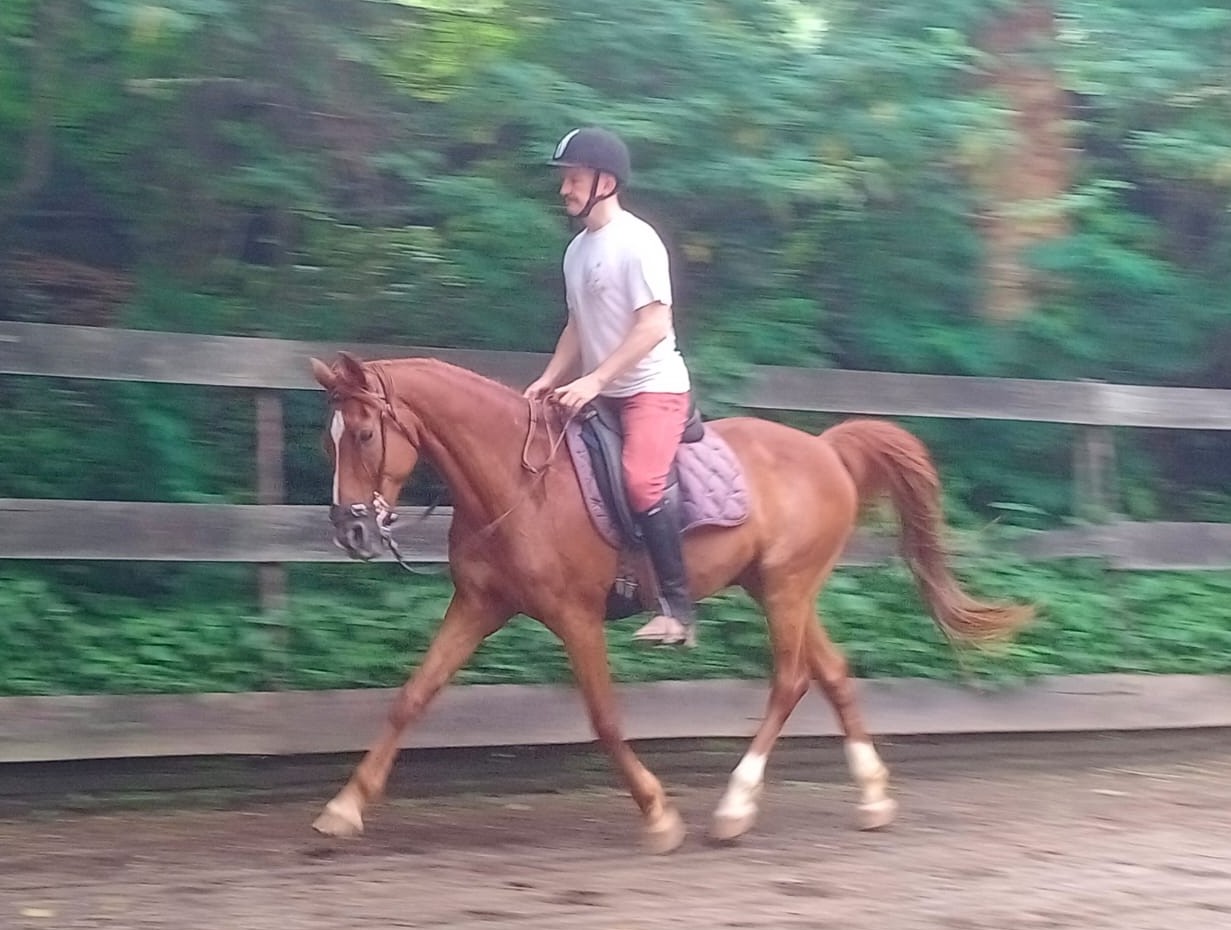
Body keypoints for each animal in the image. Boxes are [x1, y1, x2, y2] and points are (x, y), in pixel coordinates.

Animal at [309, 351, 1031, 853]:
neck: (516, 483)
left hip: (787, 588)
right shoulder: (479, 605)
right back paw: (873, 797)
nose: (350, 531)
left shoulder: (574, 617)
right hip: (780, 587)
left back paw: (734, 810)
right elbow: (412, 698)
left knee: (792, 679)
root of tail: (825, 450)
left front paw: (659, 814)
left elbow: (603, 719)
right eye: (329, 438)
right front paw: (342, 809)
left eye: (365, 434)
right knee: (831, 671)